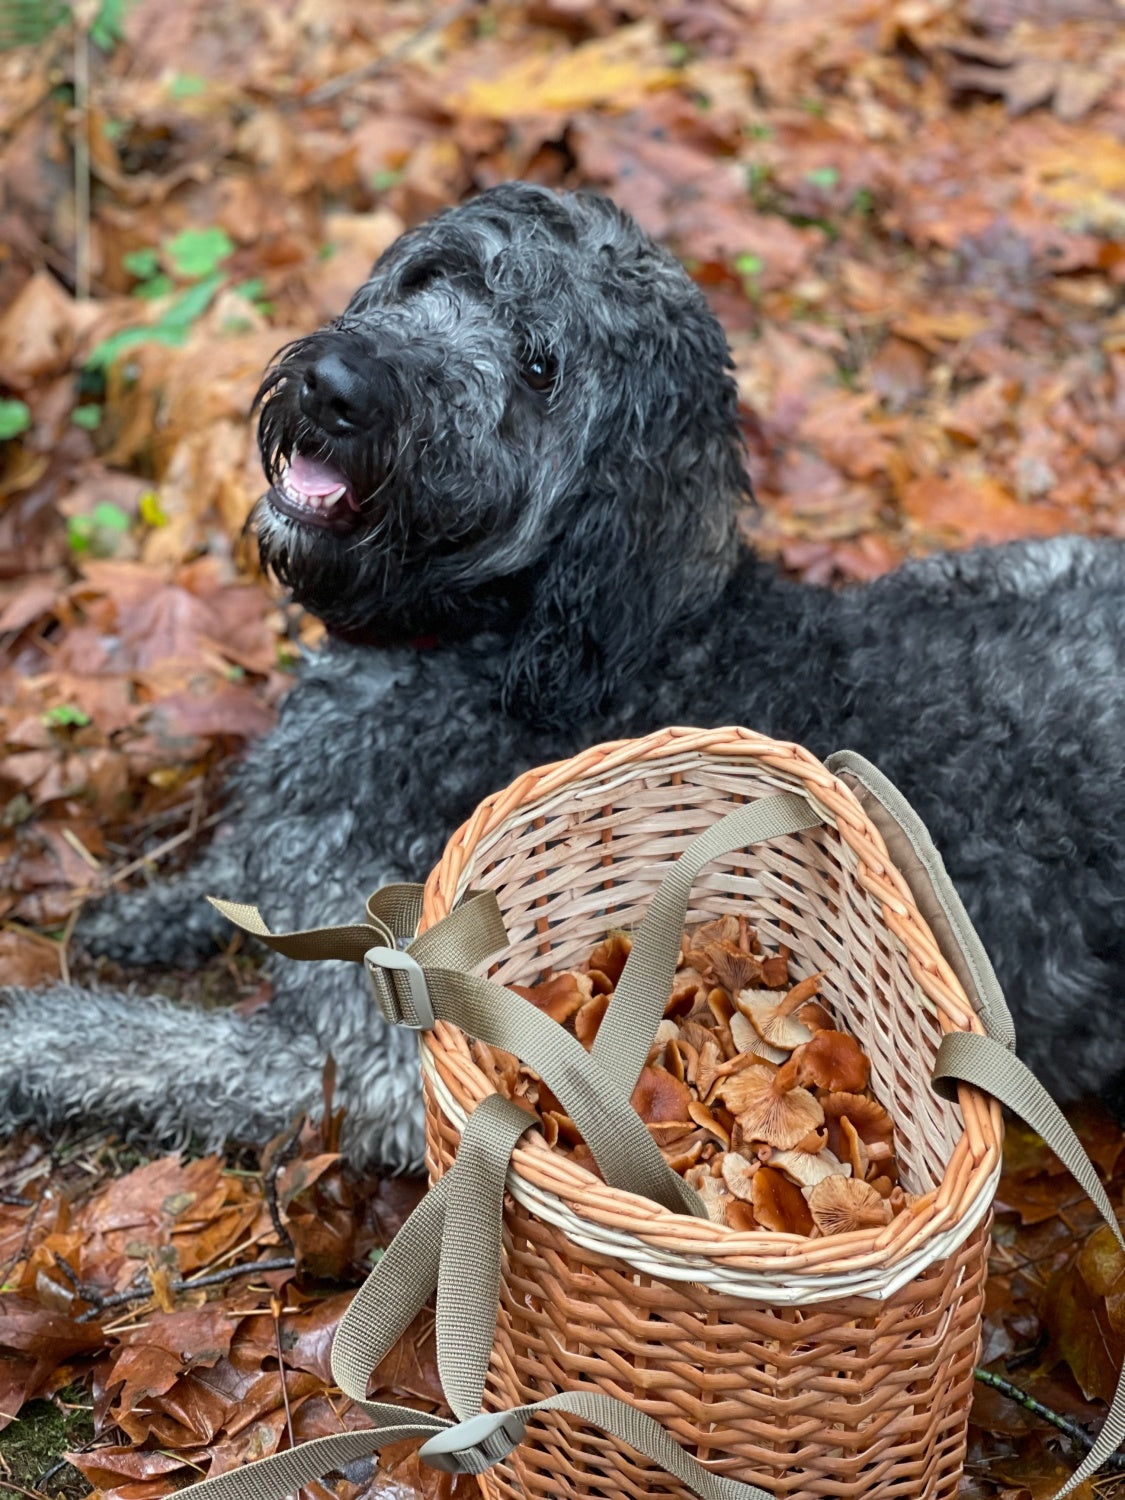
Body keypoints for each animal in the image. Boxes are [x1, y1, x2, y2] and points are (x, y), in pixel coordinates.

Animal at [2, 187, 1125, 1164]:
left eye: (540, 368)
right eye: (431, 275)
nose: (340, 385)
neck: (504, 649)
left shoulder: (369, 1062)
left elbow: (139, 1045)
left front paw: (29, 1032)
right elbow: (243, 871)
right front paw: (152, 906)